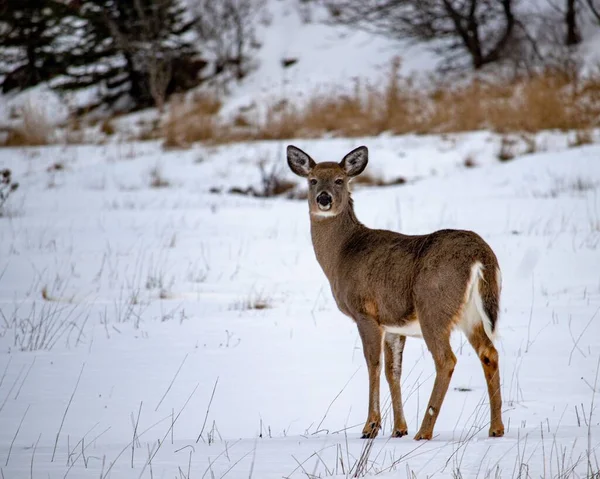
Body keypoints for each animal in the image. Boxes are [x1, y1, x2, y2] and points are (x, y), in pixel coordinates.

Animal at [286, 144, 502, 440]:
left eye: (340, 180)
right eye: (313, 180)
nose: (324, 198)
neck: (343, 253)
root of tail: (480, 255)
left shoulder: (365, 312)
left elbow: (373, 365)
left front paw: (371, 427)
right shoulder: (393, 324)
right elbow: (393, 371)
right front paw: (398, 428)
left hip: (433, 305)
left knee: (446, 359)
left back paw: (424, 431)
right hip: (471, 313)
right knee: (489, 353)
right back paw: (496, 428)